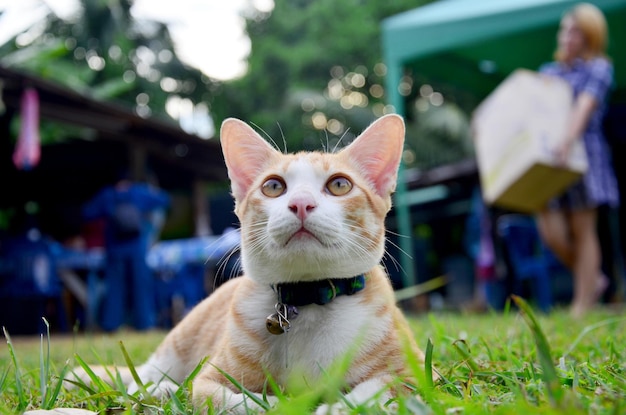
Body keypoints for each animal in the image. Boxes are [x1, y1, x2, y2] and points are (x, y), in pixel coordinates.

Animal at [67, 114, 428, 415]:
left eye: (340, 185)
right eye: (274, 186)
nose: (301, 203)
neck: (308, 299)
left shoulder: (418, 372)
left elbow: (384, 389)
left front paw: (337, 408)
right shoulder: (209, 381)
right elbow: (220, 397)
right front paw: (280, 405)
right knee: (142, 379)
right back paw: (161, 388)